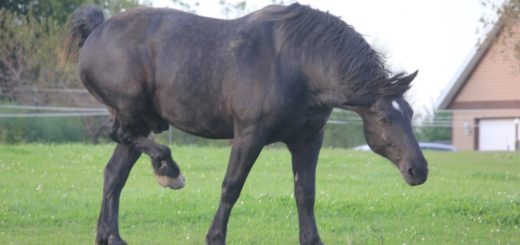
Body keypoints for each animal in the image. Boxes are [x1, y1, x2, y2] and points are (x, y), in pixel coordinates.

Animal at [65, 2, 428, 245]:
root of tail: (97, 30)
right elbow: (231, 186)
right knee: (124, 138)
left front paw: (311, 239)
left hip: (144, 121)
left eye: (410, 113)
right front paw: (215, 236)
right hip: (133, 113)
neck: (296, 63)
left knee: (114, 174)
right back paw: (168, 171)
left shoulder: (309, 139)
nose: (419, 170)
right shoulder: (249, 136)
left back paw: (110, 235)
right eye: (384, 118)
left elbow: (305, 192)